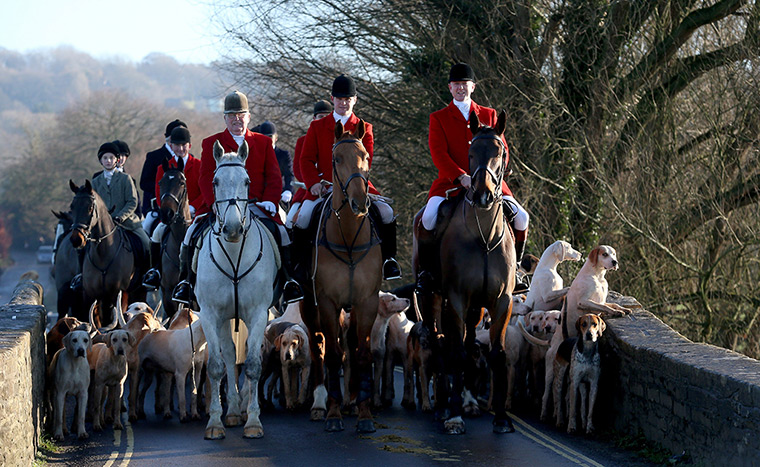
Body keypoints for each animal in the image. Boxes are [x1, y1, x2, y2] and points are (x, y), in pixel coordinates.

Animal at [68, 179, 144, 330]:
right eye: (72, 207)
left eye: (90, 208)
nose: (76, 239)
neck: (103, 254)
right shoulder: (91, 296)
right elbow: (94, 322)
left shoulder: (119, 295)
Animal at [197, 141, 278, 440]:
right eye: (215, 181)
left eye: (247, 181)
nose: (232, 228)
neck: (233, 253)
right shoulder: (210, 315)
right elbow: (217, 366)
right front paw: (215, 422)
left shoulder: (258, 313)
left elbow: (253, 365)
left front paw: (253, 421)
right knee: (230, 356)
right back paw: (231, 411)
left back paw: (241, 408)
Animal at [296, 119, 380, 434]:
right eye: (337, 159)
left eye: (365, 156)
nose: (359, 202)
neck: (348, 236)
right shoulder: (328, 303)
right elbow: (332, 354)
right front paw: (333, 414)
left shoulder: (367, 301)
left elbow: (362, 353)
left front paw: (365, 414)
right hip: (310, 307)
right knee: (319, 345)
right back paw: (321, 403)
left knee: (352, 346)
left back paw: (353, 400)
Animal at [412, 109, 520, 436]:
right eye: (471, 153)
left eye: (500, 151)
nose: (483, 194)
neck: (483, 234)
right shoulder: (456, 298)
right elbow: (456, 353)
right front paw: (454, 417)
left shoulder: (502, 301)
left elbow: (496, 354)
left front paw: (501, 418)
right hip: (431, 296)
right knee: (438, 342)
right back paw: (443, 406)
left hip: (476, 306)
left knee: (471, 342)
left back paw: (470, 402)